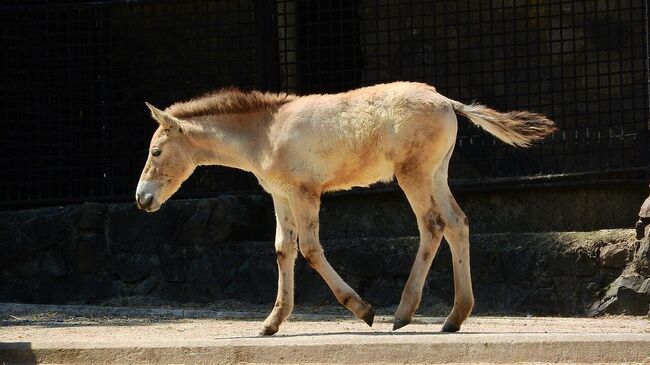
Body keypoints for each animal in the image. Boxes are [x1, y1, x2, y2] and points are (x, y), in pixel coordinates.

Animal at [135, 81, 552, 334]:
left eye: (155, 151)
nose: (142, 198)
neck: (264, 133)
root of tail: (448, 102)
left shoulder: (304, 193)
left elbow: (310, 249)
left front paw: (362, 309)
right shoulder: (280, 196)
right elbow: (283, 250)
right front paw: (272, 322)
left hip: (413, 175)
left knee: (432, 225)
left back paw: (403, 313)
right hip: (436, 174)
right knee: (457, 223)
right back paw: (454, 317)